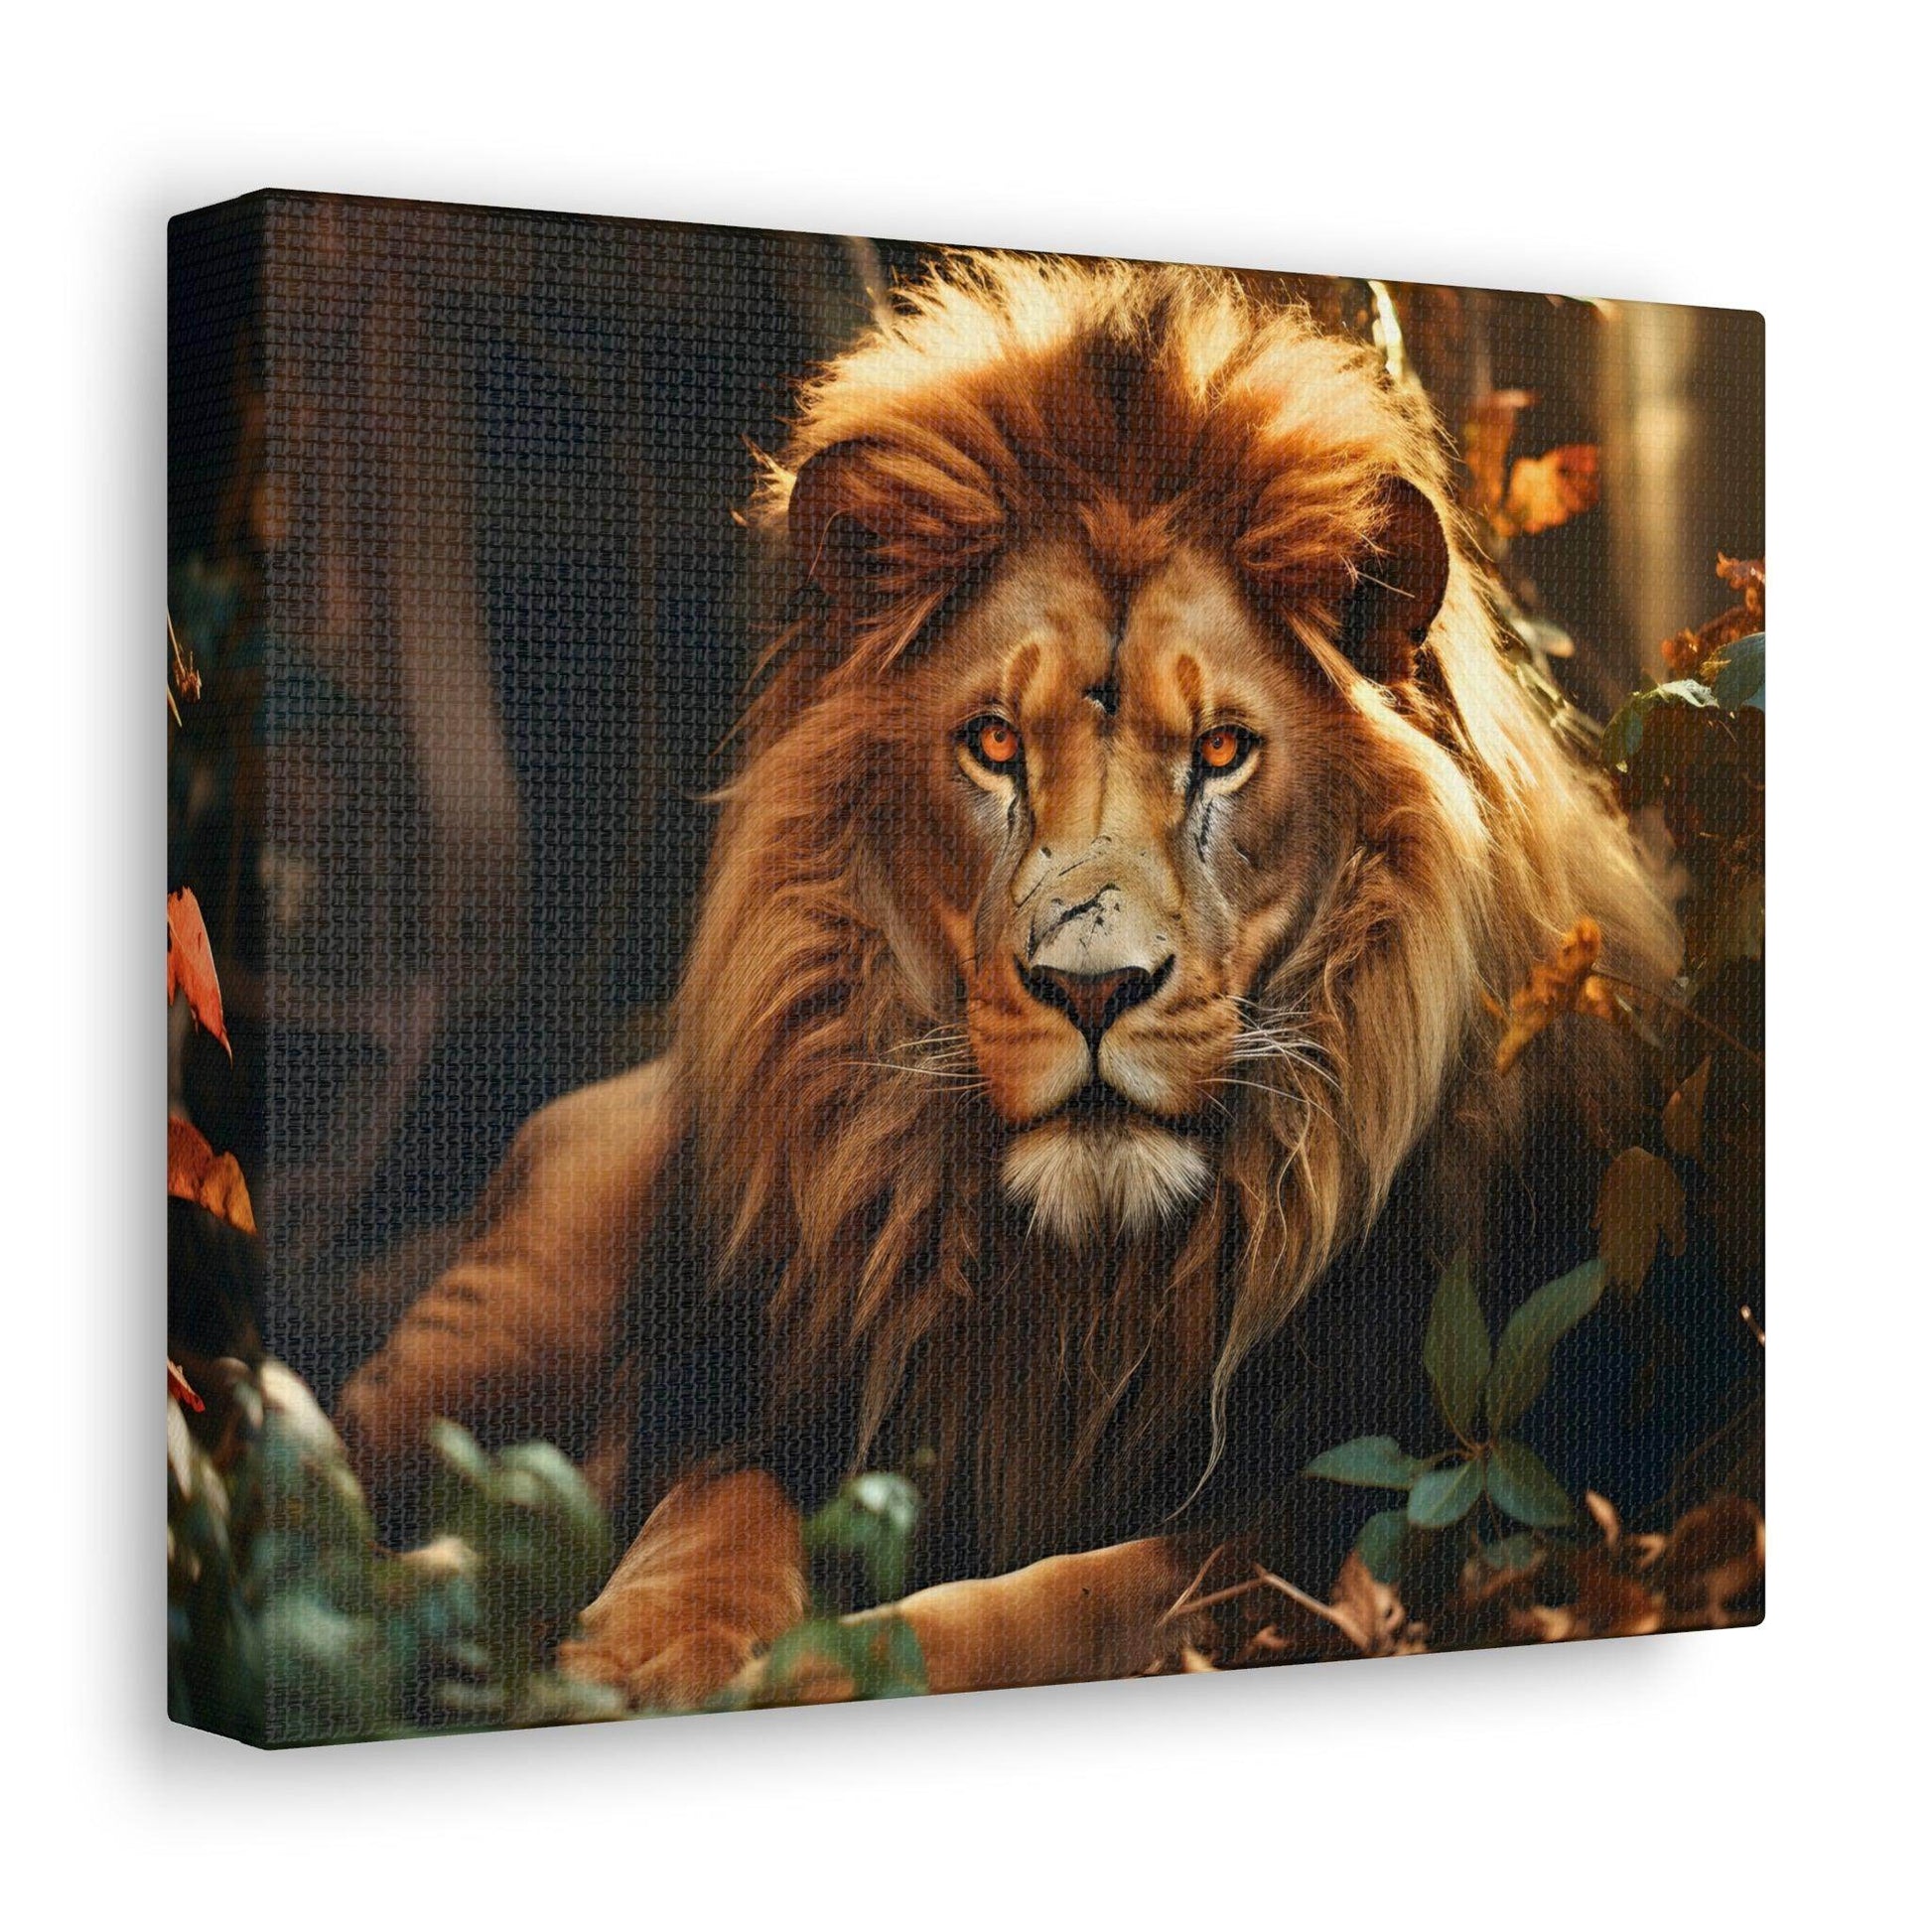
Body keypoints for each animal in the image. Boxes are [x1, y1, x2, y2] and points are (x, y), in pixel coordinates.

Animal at [337, 257, 1679, 1707]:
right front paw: (637, 1654)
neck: (1080, 1283)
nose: (1090, 989)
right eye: (991, 744)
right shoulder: (770, 1387)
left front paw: (822, 1662)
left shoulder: (1365, 1502)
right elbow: (709, 1509)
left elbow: (1072, 1597)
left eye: (1221, 749)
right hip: (513, 1319)